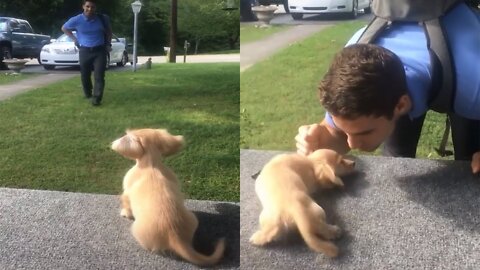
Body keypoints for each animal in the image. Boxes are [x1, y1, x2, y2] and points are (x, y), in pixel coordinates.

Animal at [111, 129, 226, 266]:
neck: (152, 165)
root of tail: (174, 235)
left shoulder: (127, 192)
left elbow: (126, 204)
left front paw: (125, 213)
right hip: (193, 218)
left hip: (136, 230)